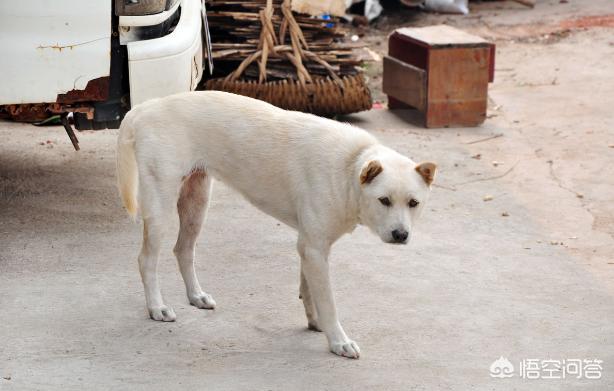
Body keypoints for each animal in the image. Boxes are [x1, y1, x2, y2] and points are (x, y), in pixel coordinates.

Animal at [114, 91, 434, 358]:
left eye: (413, 203)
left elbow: (309, 291)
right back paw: (156, 307)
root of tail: (145, 107)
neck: (350, 167)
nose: (400, 234)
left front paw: (315, 323)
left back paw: (196, 296)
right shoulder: (315, 249)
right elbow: (328, 301)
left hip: (196, 203)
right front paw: (338, 341)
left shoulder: (309, 247)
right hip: (161, 207)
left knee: (183, 250)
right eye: (384, 200)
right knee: (146, 259)